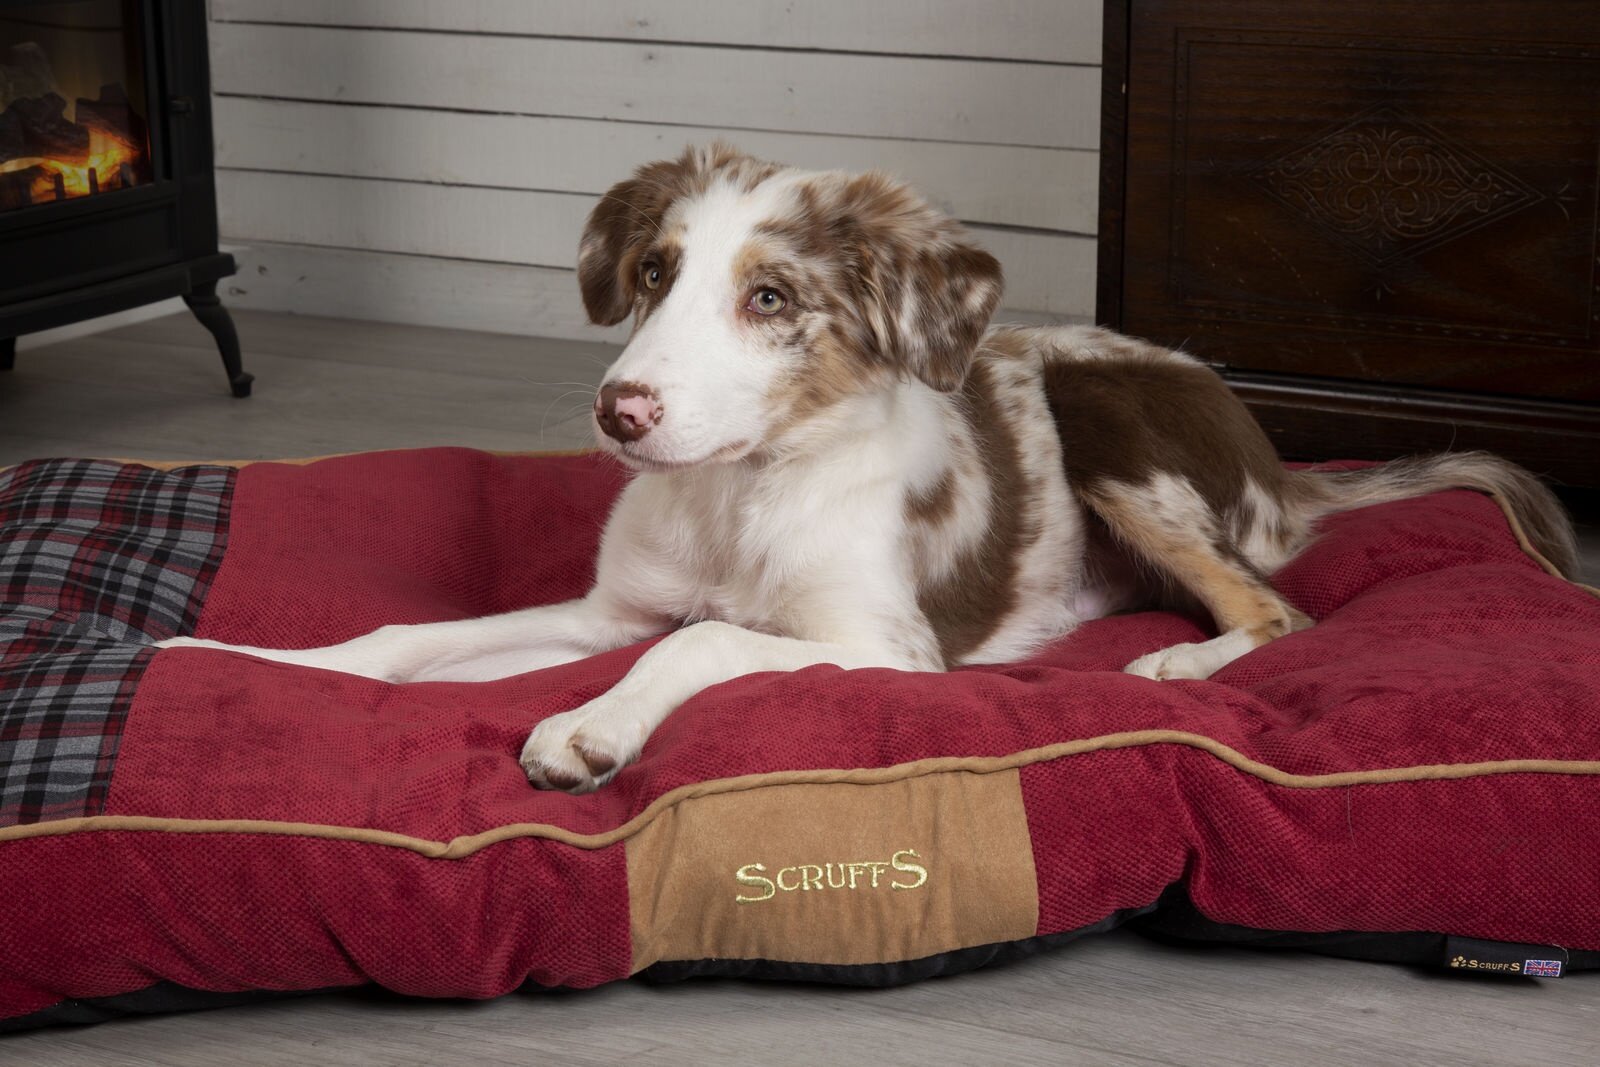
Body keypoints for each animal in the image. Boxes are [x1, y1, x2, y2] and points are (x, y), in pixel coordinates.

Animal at [158, 144, 1579, 793]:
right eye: (655, 273)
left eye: (771, 297)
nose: (621, 411)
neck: (739, 486)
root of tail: (1282, 463)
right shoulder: (607, 608)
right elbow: (408, 637)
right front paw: (248, 663)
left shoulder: (884, 647)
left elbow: (701, 644)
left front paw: (587, 725)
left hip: (1110, 423)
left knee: (1279, 608)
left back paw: (1178, 667)